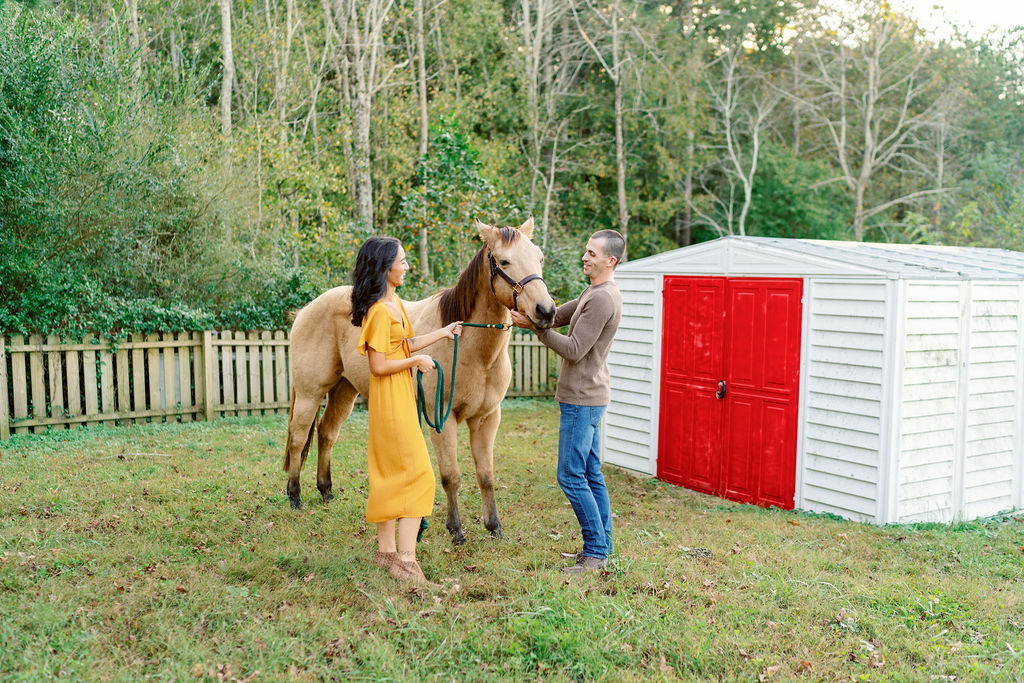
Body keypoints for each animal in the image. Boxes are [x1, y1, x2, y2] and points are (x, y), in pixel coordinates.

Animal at [284, 219, 557, 544]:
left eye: (540, 258)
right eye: (503, 261)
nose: (546, 311)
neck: (474, 352)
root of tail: (305, 310)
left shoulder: (487, 419)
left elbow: (486, 476)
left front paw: (494, 527)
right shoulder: (443, 419)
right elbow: (451, 476)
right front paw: (456, 529)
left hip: (344, 391)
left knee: (326, 433)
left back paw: (326, 491)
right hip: (310, 394)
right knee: (298, 439)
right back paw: (295, 496)